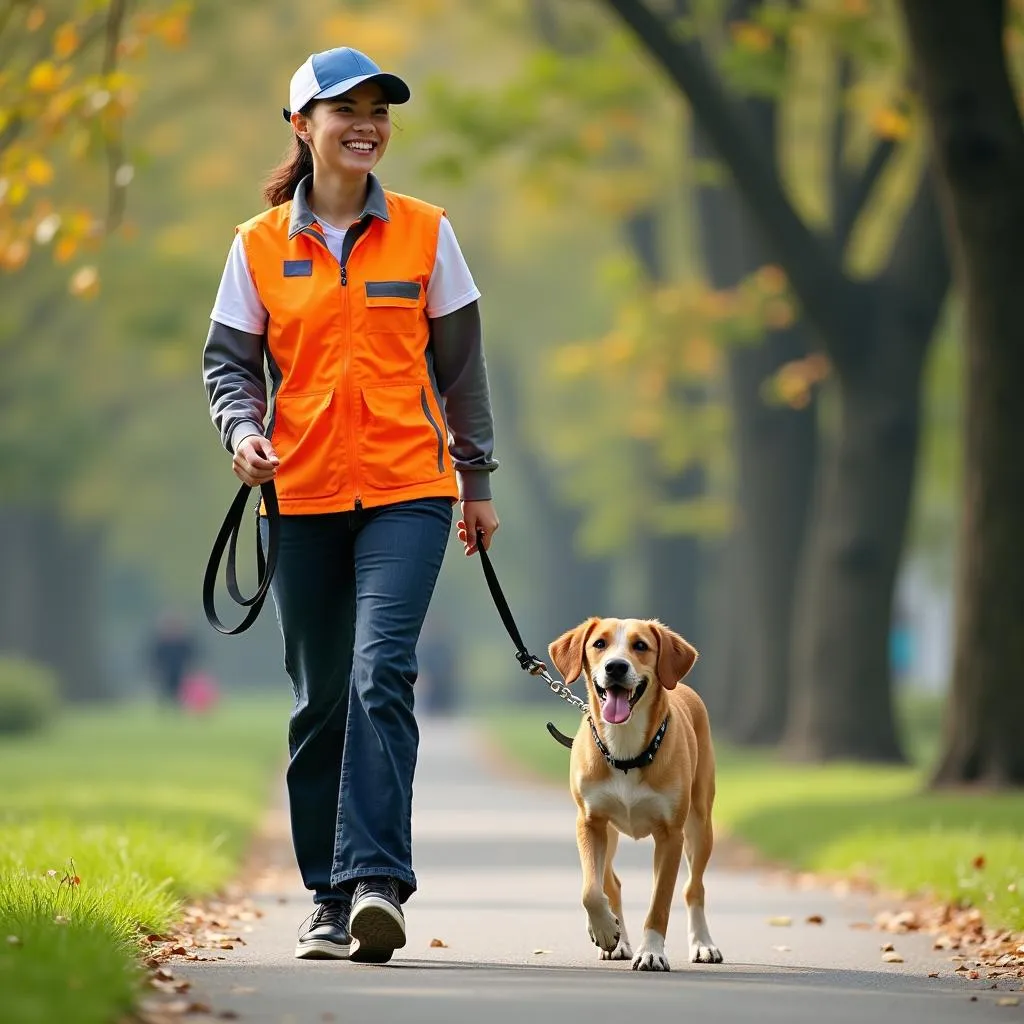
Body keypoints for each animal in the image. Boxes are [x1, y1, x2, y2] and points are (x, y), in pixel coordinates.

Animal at [548, 614, 724, 966]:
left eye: (640, 645)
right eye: (599, 643)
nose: (616, 666)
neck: (625, 750)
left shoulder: (671, 834)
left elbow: (660, 902)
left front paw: (652, 952)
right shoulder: (590, 821)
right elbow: (591, 889)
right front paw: (605, 931)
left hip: (700, 822)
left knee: (693, 887)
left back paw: (703, 944)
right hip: (610, 830)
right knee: (611, 882)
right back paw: (617, 940)